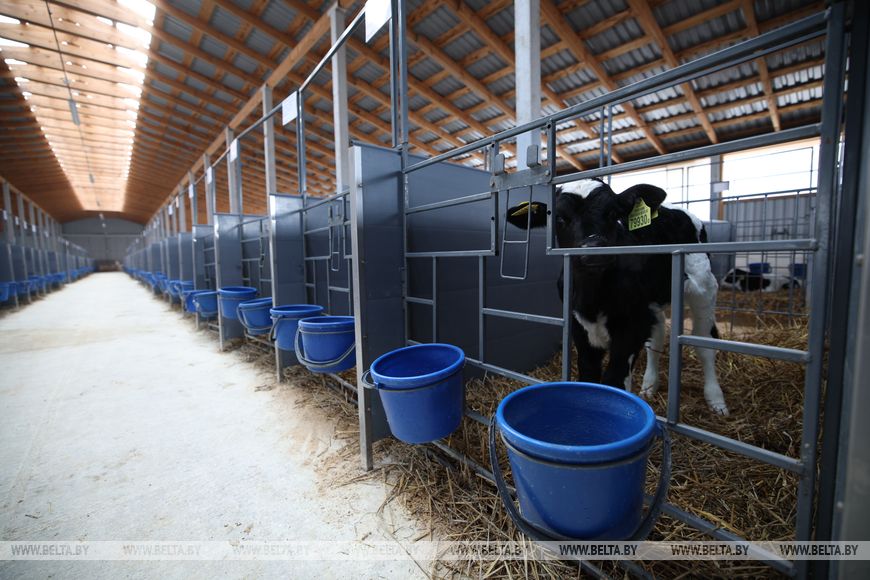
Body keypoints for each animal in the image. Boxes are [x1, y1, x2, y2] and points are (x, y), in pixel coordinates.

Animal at [506, 178, 728, 416]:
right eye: (559, 217)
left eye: (613, 213)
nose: (594, 250)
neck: (593, 298)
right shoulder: (580, 327)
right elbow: (588, 374)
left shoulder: (630, 328)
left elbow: (614, 379)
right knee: (657, 336)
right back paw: (649, 386)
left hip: (704, 286)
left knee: (704, 342)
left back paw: (716, 400)